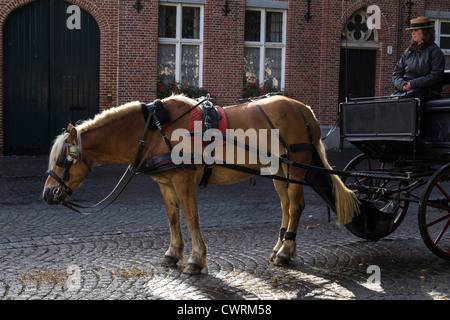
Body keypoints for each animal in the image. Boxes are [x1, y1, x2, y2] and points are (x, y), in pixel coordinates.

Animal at [42, 94, 358, 274]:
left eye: (64, 160)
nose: (47, 193)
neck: (154, 130)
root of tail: (305, 110)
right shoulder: (165, 183)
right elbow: (173, 218)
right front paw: (172, 253)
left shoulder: (183, 180)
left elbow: (191, 218)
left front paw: (196, 259)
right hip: (278, 170)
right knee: (286, 206)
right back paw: (278, 247)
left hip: (295, 167)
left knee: (297, 206)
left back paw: (286, 253)